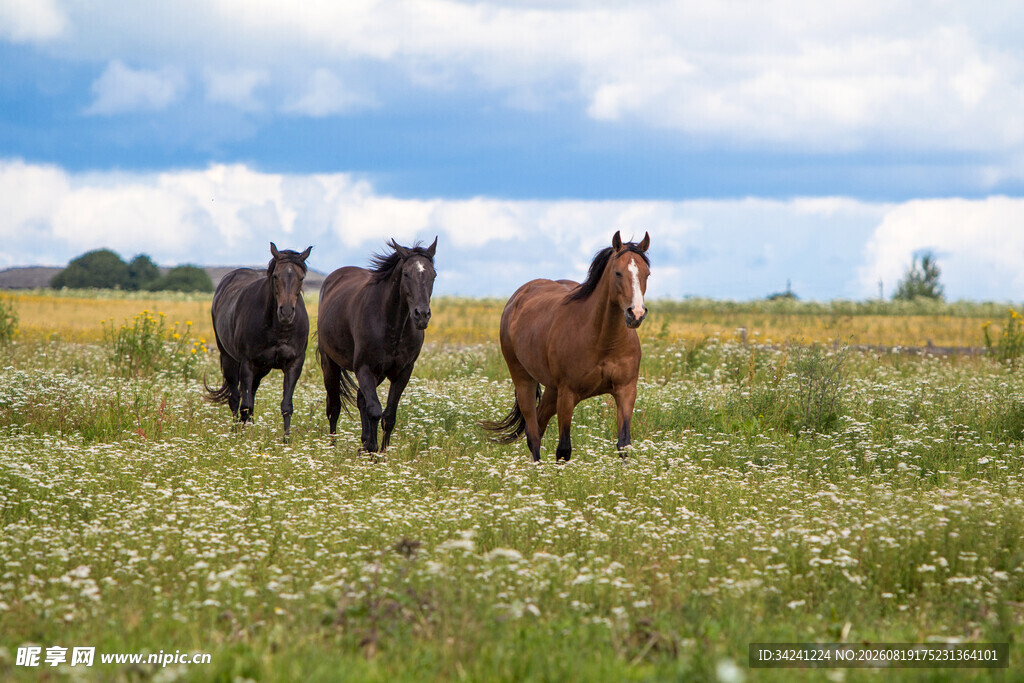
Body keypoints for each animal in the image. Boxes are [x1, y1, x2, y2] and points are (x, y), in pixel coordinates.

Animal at [205, 243, 312, 437]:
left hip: (262, 368)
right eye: (276, 276)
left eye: (301, 278)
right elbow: (245, 405)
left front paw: (286, 440)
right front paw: (243, 437)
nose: (286, 312)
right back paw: (235, 431)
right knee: (235, 398)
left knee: (250, 394)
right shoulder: (247, 363)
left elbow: (287, 406)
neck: (278, 328)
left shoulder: (294, 364)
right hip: (229, 359)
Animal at [317, 237, 437, 452]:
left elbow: (388, 416)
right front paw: (372, 450)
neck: (391, 324)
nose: (422, 315)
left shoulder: (402, 373)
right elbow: (374, 410)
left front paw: (381, 451)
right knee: (334, 406)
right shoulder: (364, 368)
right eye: (406, 274)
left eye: (433, 275)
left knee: (359, 398)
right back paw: (333, 447)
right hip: (330, 363)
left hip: (378, 373)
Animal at [483, 231, 650, 462]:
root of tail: (517, 298)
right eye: (618, 273)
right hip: (524, 380)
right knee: (533, 433)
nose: (636, 314)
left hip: (552, 390)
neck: (604, 341)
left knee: (539, 425)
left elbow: (624, 445)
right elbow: (564, 449)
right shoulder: (568, 394)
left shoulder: (626, 391)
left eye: (647, 274)